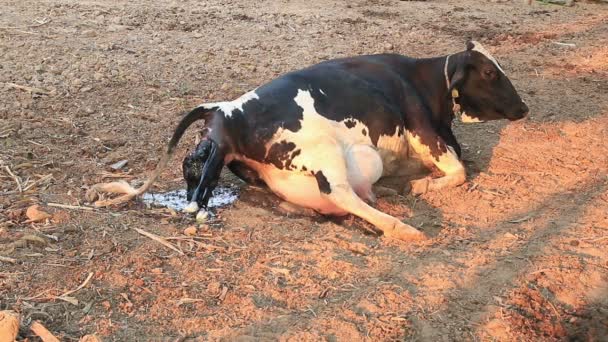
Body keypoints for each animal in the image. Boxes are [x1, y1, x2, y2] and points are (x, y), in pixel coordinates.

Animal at [88, 41, 528, 242]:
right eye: (490, 73)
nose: (524, 107)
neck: (422, 82)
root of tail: (226, 109)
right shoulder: (425, 132)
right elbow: (459, 170)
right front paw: (422, 185)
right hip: (326, 152)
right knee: (340, 194)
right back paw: (400, 226)